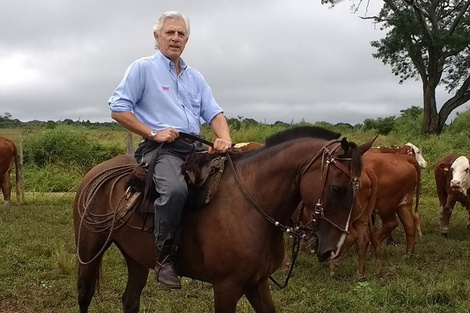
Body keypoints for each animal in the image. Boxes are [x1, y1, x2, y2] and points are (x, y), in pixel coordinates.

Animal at [73, 125, 374, 310]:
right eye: (337, 188)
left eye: (359, 189)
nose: (332, 249)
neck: (251, 204)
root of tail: (98, 171)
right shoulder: (227, 288)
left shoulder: (257, 283)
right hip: (88, 251)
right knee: (84, 295)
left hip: (136, 258)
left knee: (130, 300)